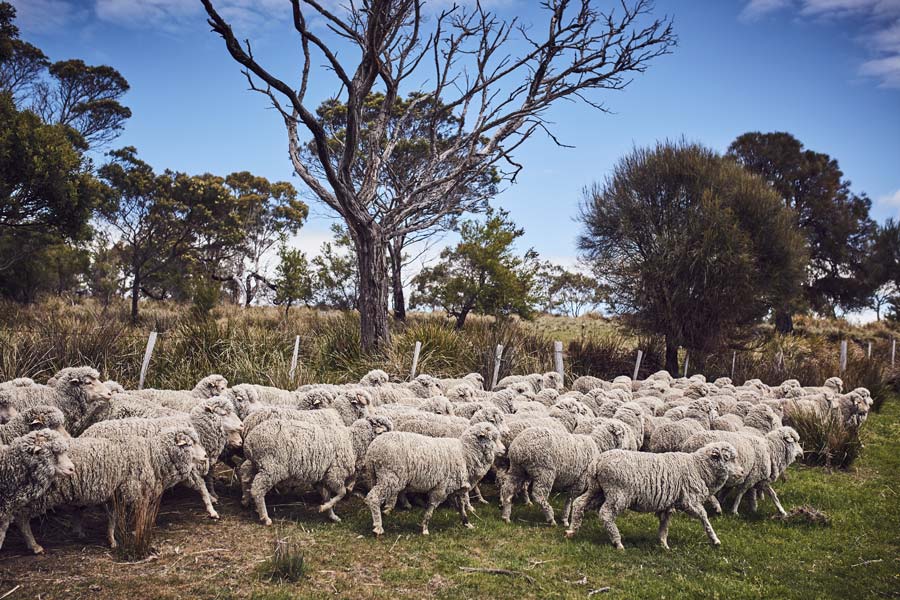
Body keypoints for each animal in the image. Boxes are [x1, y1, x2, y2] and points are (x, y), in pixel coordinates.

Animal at [14, 427, 206, 554]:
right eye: (189, 444)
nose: (205, 456)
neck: (153, 457)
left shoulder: (117, 493)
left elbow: (113, 518)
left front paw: (112, 539)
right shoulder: (133, 491)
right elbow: (136, 516)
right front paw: (137, 532)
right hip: (39, 495)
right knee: (21, 518)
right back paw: (34, 546)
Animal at [241, 415, 393, 525]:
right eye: (387, 430)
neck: (353, 442)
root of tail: (250, 441)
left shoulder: (323, 478)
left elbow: (326, 495)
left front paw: (332, 515)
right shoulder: (335, 474)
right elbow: (342, 492)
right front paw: (323, 508)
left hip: (256, 463)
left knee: (245, 475)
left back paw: (245, 500)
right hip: (271, 467)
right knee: (258, 489)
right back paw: (265, 517)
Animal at [364, 422, 504, 536]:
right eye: (493, 438)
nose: (504, 449)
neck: (465, 453)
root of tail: (373, 450)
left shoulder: (456, 488)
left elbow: (461, 507)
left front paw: (467, 523)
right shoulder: (441, 488)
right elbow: (431, 508)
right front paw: (425, 528)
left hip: (376, 476)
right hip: (390, 477)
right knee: (373, 497)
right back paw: (378, 527)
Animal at [564, 441, 742, 549]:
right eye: (728, 458)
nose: (741, 472)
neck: (699, 468)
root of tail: (597, 462)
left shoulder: (669, 504)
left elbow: (665, 524)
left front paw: (664, 544)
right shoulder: (690, 501)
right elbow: (704, 517)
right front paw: (715, 540)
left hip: (597, 490)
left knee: (579, 503)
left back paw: (572, 531)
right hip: (618, 494)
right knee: (606, 514)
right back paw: (617, 542)